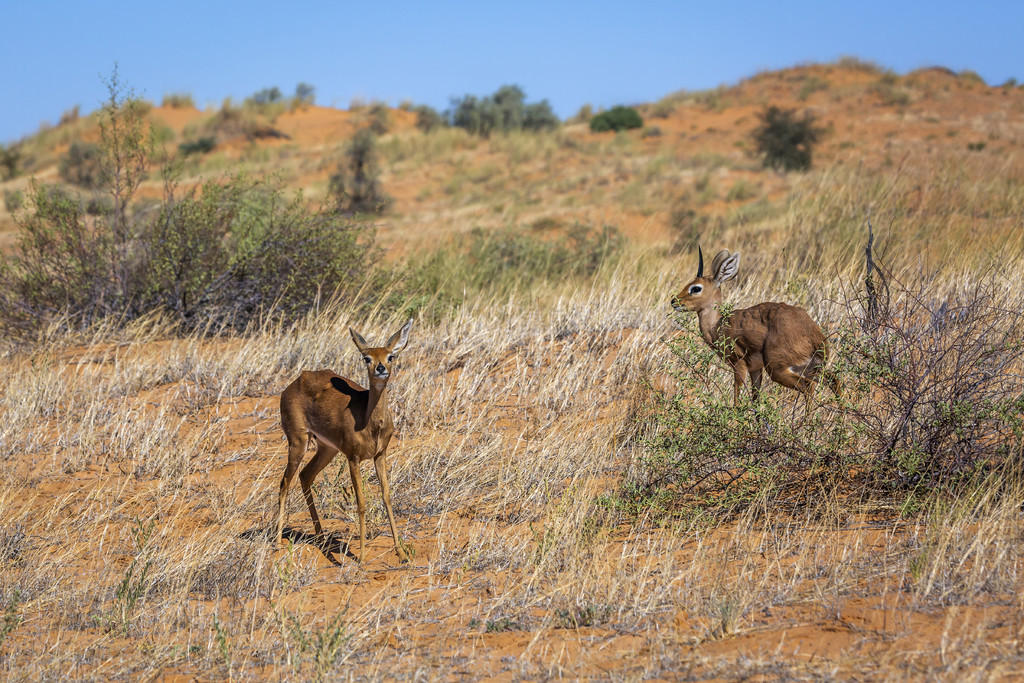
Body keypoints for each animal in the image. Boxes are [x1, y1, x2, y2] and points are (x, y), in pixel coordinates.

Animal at [276, 317, 415, 565]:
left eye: (391, 356)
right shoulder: (353, 458)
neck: (369, 422)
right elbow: (361, 503)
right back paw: (276, 543)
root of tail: (291, 385)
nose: (380, 368)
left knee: (305, 476)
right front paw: (361, 558)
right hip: (298, 442)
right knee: (284, 484)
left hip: (327, 449)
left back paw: (321, 538)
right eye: (366, 357)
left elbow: (387, 498)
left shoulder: (380, 455)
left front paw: (401, 553)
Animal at [671, 249, 839, 405]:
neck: (718, 325)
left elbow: (737, 400)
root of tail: (814, 334)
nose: (674, 301)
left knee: (808, 386)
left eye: (696, 288)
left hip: (778, 370)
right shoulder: (755, 369)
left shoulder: (739, 364)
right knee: (833, 380)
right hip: (809, 368)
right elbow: (756, 401)